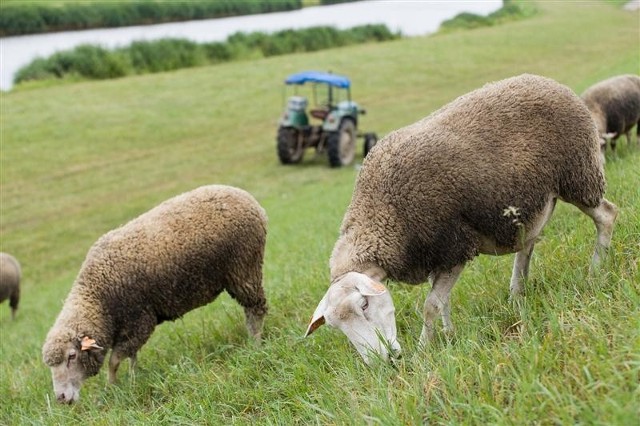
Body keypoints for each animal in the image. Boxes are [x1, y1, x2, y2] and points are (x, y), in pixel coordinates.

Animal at [42, 185, 268, 404]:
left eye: (72, 356)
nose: (61, 398)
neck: (99, 298)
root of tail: (248, 198)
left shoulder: (139, 320)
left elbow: (114, 361)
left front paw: (112, 387)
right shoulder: (130, 328)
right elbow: (131, 357)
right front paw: (134, 379)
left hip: (244, 267)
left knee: (256, 309)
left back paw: (256, 344)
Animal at [308, 75, 616, 364]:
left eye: (364, 305)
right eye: (336, 327)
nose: (381, 362)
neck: (385, 213)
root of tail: (550, 82)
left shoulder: (453, 249)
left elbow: (431, 305)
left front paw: (423, 350)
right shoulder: (434, 256)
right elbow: (443, 302)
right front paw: (448, 334)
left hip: (578, 174)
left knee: (607, 216)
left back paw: (594, 273)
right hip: (535, 200)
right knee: (527, 244)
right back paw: (517, 294)